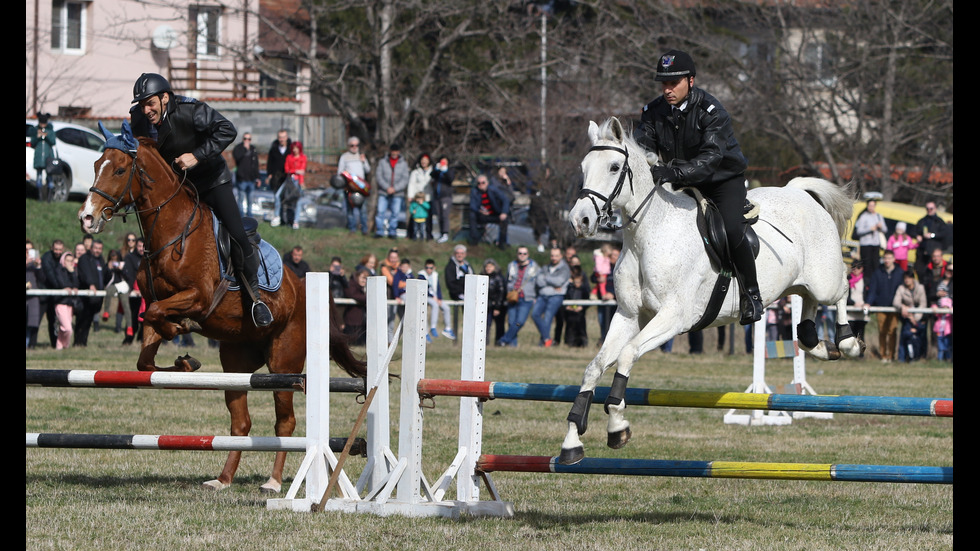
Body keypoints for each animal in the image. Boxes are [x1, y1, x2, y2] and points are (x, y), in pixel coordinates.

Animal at [76, 123, 366, 494]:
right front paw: (185, 360)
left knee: (285, 422)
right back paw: (223, 479)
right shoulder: (156, 303)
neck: (172, 233)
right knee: (241, 423)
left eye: (119, 169)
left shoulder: (198, 297)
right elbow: (146, 354)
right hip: (235, 363)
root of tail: (302, 285)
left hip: (283, 360)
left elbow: (162, 317)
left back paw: (273, 482)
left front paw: (182, 329)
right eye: (96, 163)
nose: (87, 217)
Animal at [560, 116, 864, 466]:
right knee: (807, 308)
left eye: (613, 167)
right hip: (800, 283)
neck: (648, 235)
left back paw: (848, 342)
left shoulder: (673, 318)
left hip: (824, 279)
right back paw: (820, 345)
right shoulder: (628, 315)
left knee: (841, 291)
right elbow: (595, 367)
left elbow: (627, 354)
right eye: (583, 167)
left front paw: (617, 426)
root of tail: (800, 193)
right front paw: (572, 441)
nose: (580, 221)